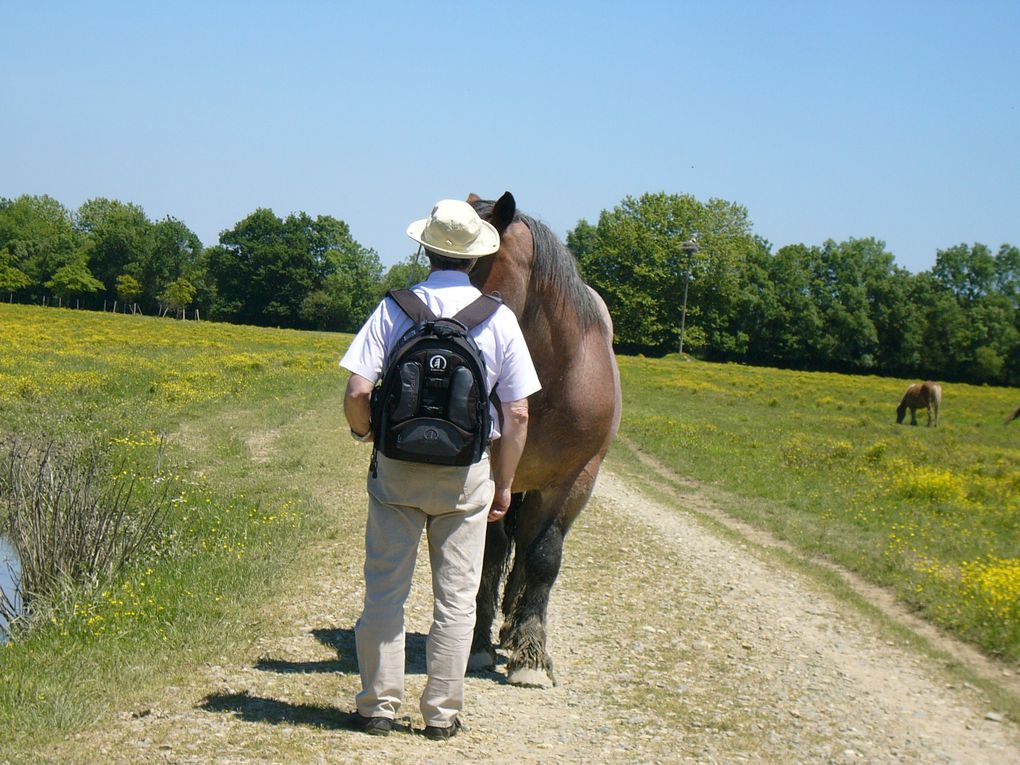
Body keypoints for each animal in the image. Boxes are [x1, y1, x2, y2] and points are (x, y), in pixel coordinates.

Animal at [465, 192, 620, 689]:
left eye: (470, 266)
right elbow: (490, 556)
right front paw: (476, 644)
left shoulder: (573, 481)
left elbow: (544, 557)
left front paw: (530, 654)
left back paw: (515, 628)